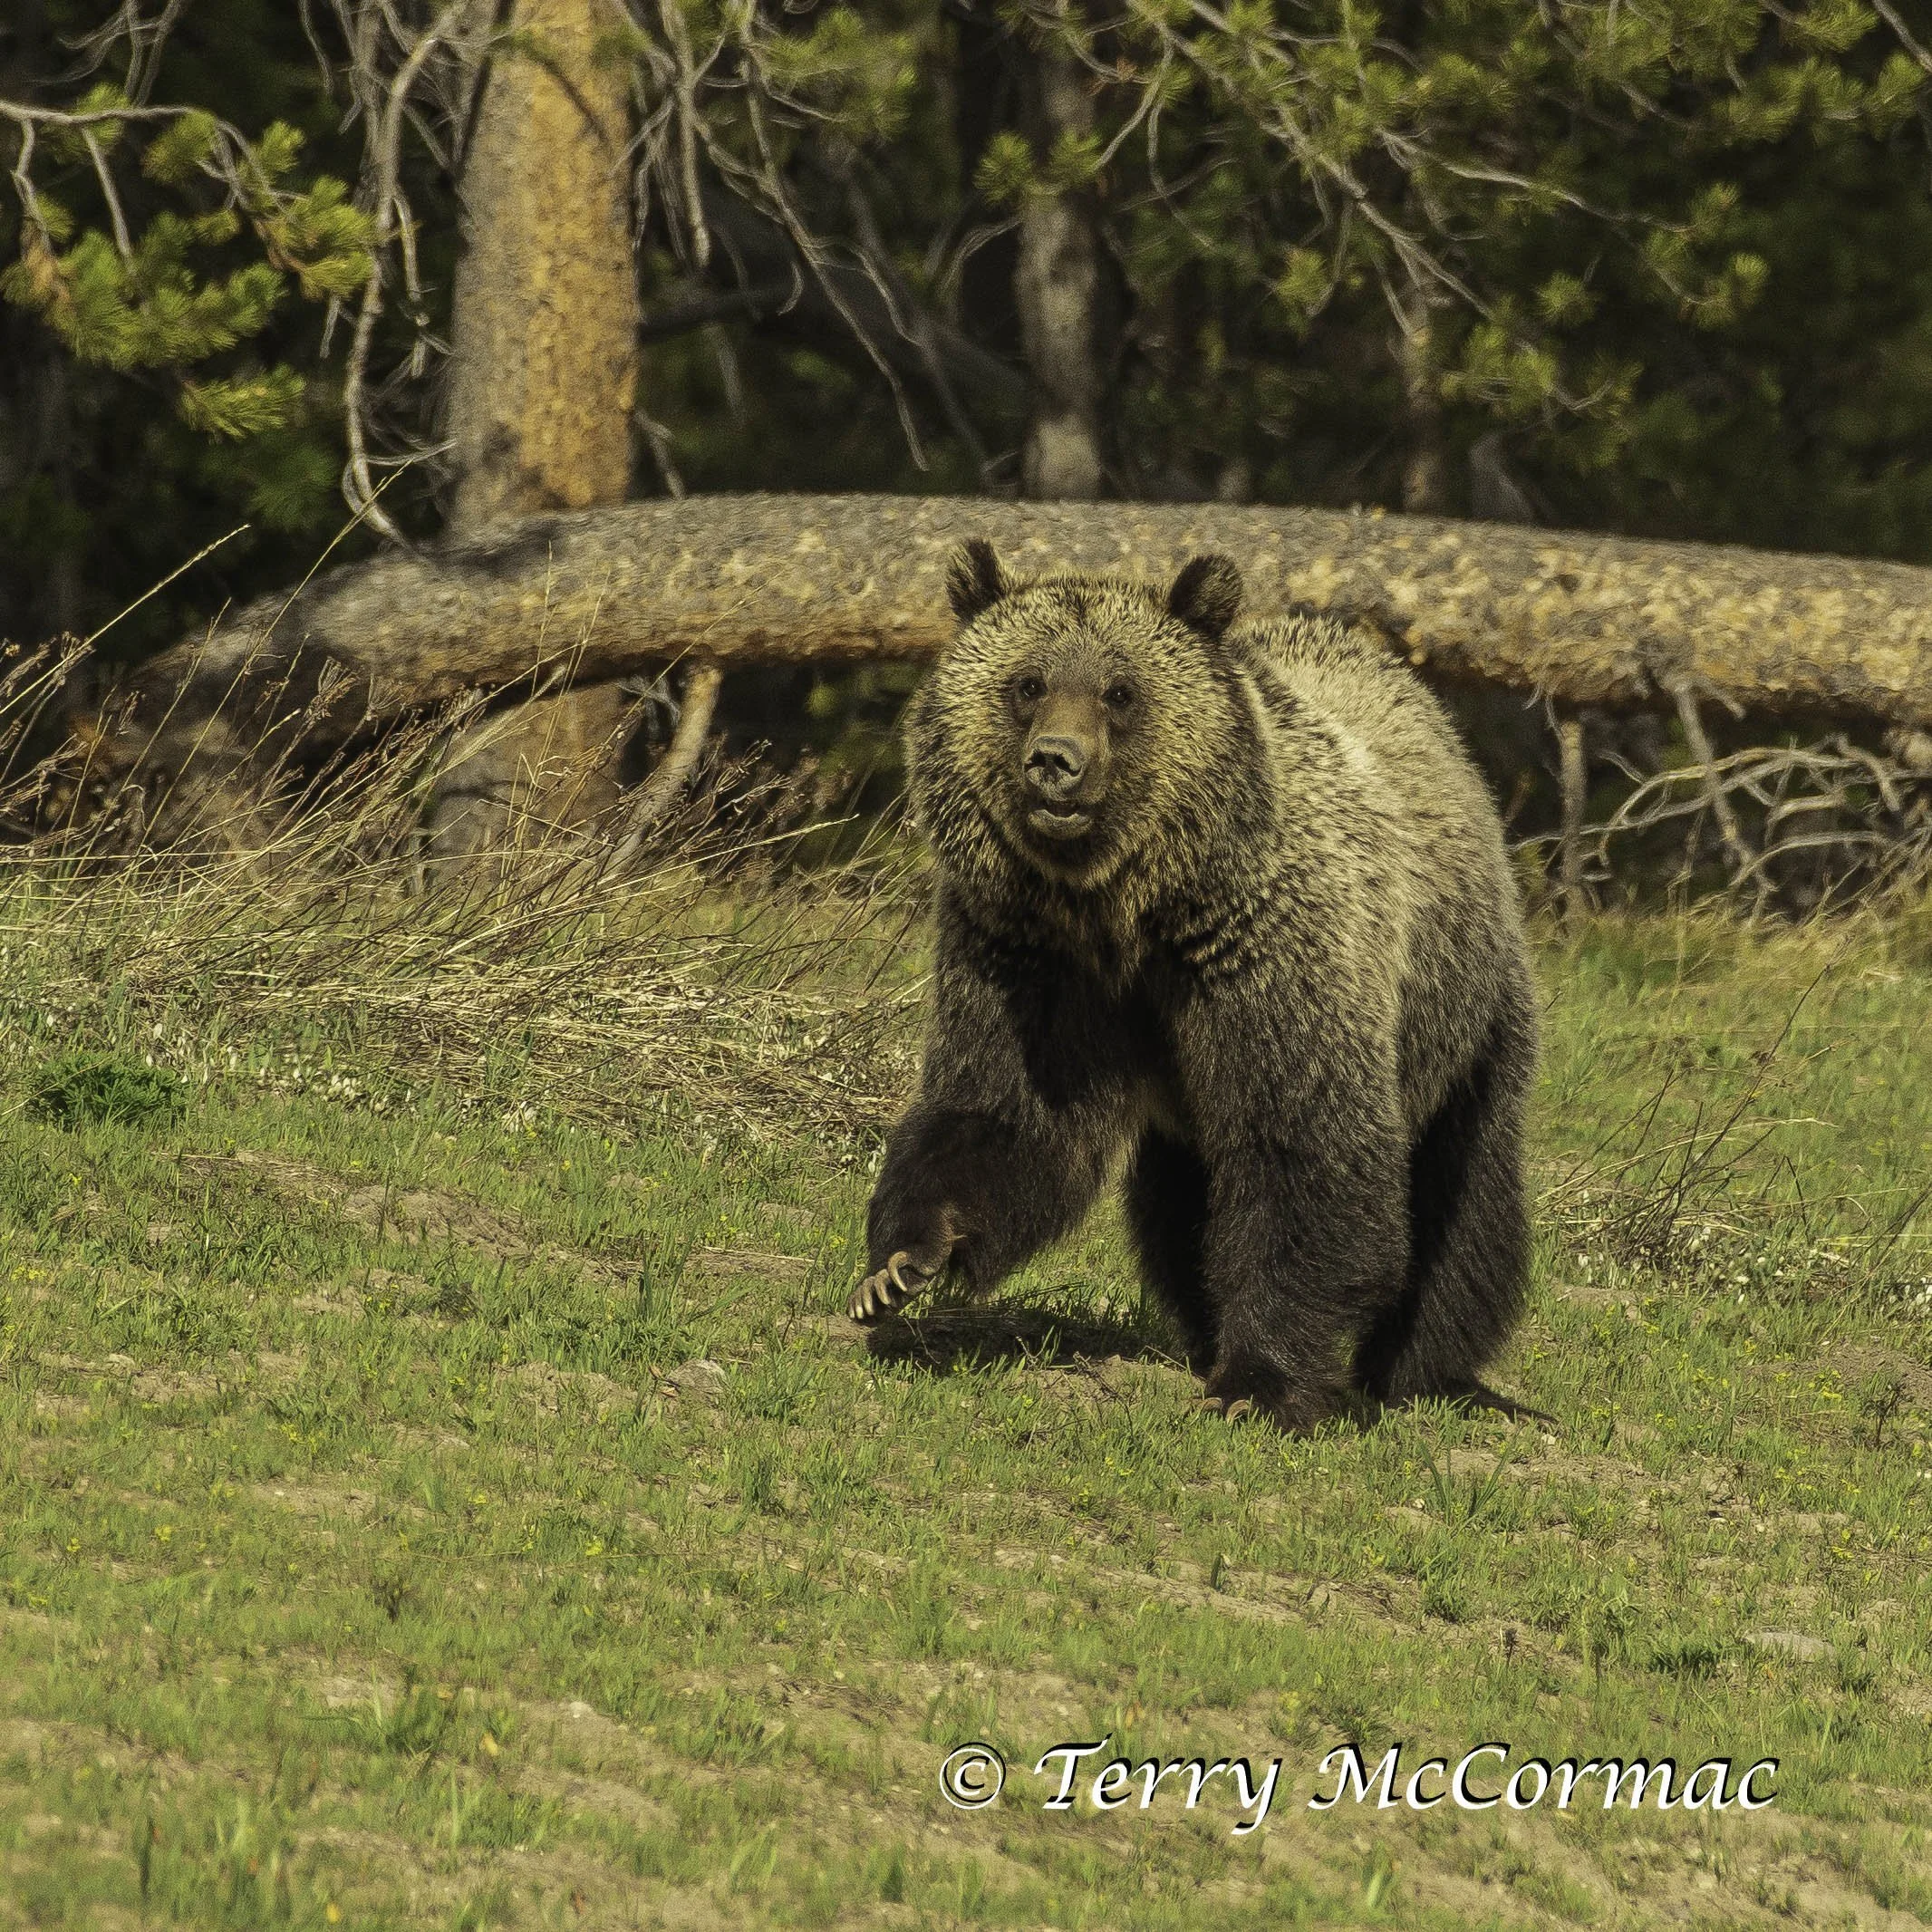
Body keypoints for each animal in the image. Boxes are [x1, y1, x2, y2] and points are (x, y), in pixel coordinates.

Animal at [848, 539, 1538, 1432]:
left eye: (1120, 690)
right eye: (1028, 682)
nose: (1055, 763)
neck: (1129, 908)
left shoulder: (1267, 949)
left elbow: (1301, 1147)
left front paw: (1260, 1382)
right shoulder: (1028, 960)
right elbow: (1004, 1112)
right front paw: (899, 1264)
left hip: (1463, 1004)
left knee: (1465, 1194)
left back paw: (1422, 1367)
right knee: (1180, 1201)